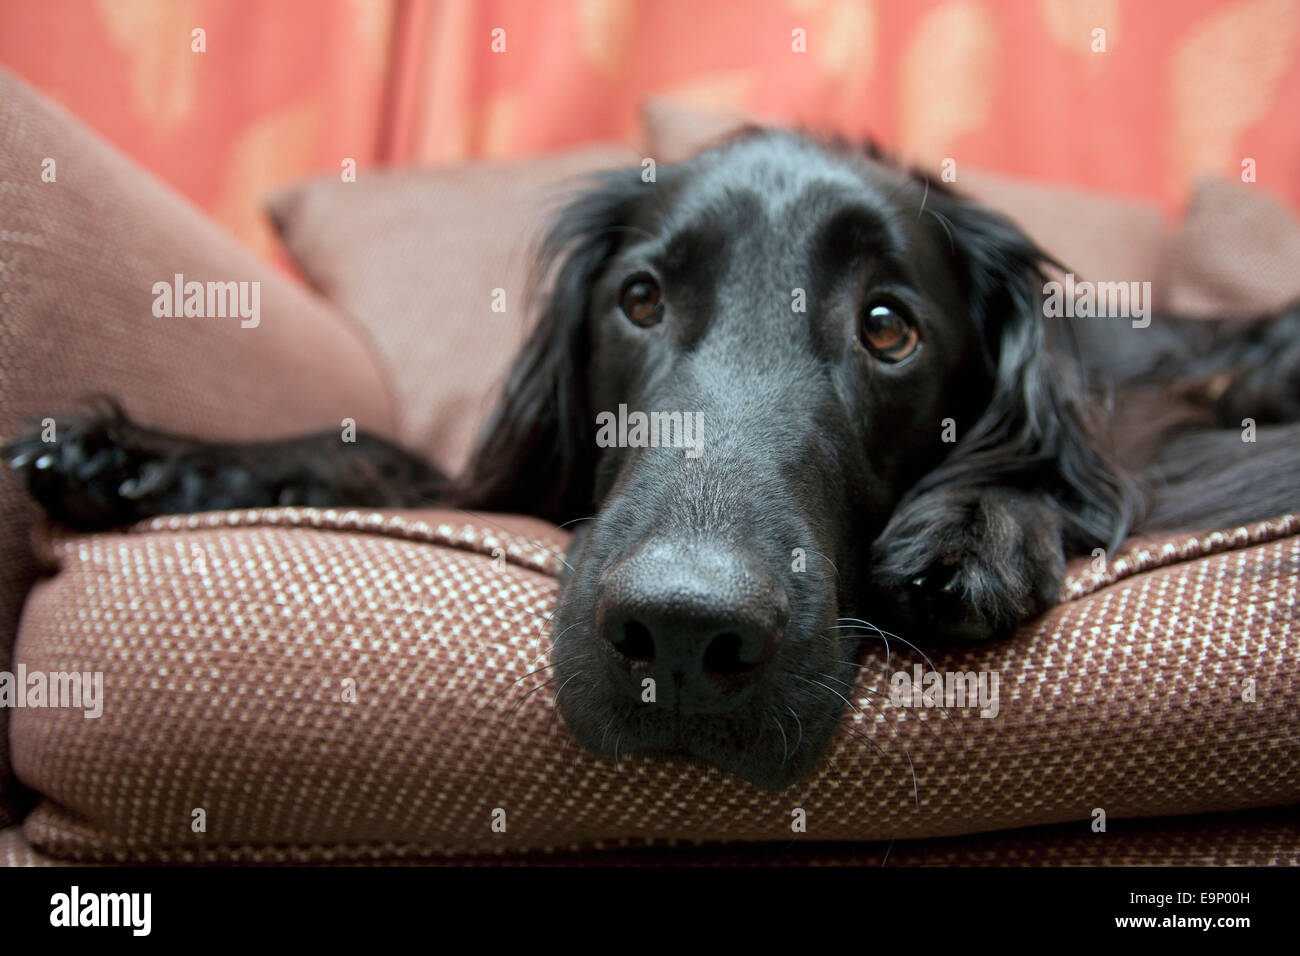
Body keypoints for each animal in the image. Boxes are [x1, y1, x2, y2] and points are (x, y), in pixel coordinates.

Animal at [10, 128, 1300, 785]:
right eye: (639, 299)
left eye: (888, 327)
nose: (681, 635)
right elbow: (374, 448)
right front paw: (139, 455)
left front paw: (979, 519)